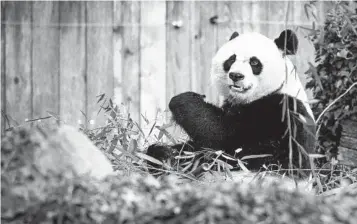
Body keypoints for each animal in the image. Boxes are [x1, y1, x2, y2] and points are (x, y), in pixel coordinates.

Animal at [146, 28, 316, 174]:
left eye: (254, 62)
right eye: (231, 59)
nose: (236, 75)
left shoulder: (283, 111)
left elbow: (224, 138)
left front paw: (183, 100)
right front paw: (168, 153)